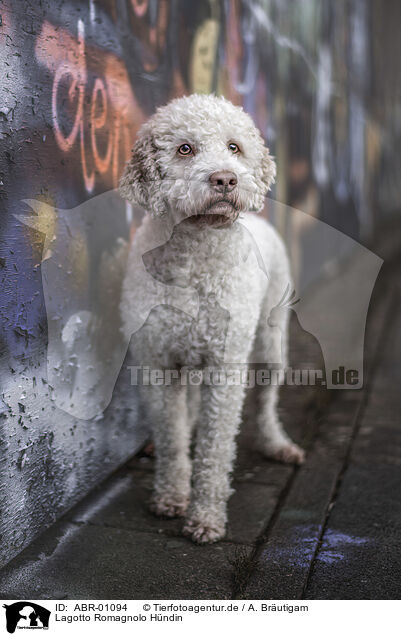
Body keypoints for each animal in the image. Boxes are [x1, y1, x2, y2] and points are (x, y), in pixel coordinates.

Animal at [119, 93, 304, 540]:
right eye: (185, 148)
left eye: (234, 147)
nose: (225, 180)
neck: (193, 256)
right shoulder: (159, 361)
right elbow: (172, 437)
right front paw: (171, 496)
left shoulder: (225, 365)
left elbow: (216, 446)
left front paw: (205, 517)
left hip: (271, 342)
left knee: (267, 402)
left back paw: (277, 444)